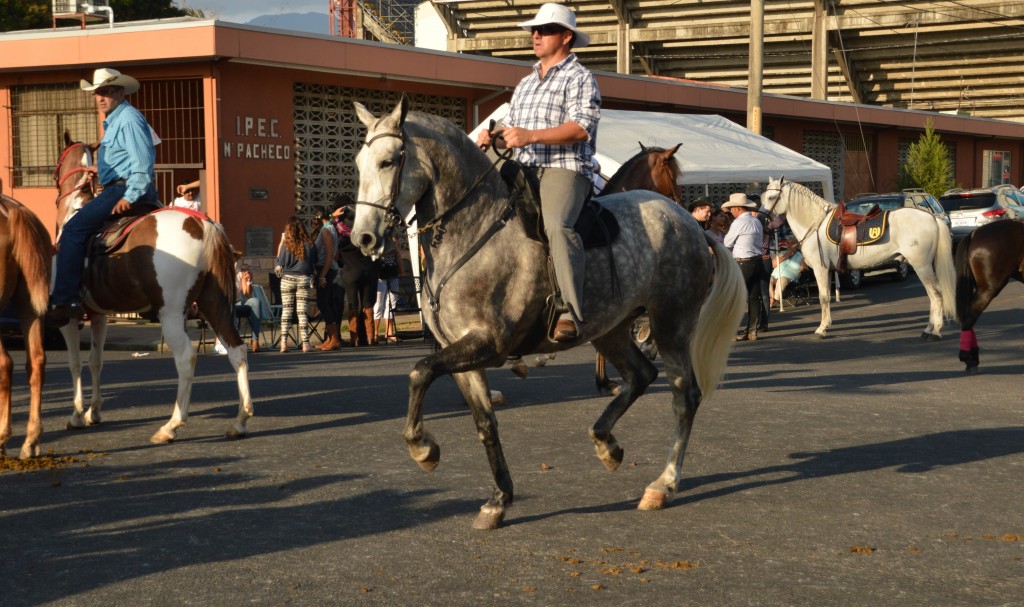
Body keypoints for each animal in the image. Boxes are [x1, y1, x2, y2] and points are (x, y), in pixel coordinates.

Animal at [54, 135, 251, 442]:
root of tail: (202, 224)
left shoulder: (68, 316)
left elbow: (75, 363)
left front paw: (76, 415)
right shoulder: (99, 315)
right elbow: (96, 360)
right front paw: (93, 412)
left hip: (171, 313)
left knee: (186, 357)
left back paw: (171, 425)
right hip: (214, 304)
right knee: (237, 350)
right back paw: (240, 421)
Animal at [352, 97, 745, 528]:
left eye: (389, 161)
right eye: (358, 163)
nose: (363, 238)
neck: (474, 231)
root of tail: (689, 225)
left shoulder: (488, 343)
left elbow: (418, 372)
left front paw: (423, 449)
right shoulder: (463, 354)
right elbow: (483, 422)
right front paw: (498, 499)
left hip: (671, 324)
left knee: (684, 396)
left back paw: (663, 484)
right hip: (611, 330)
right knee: (642, 375)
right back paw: (606, 444)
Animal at [765, 176, 954, 339]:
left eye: (772, 197)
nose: (764, 219)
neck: (815, 223)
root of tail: (933, 218)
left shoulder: (821, 269)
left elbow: (823, 297)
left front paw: (822, 329)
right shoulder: (827, 270)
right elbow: (827, 296)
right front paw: (826, 325)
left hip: (922, 266)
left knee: (935, 295)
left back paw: (934, 332)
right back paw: (930, 329)